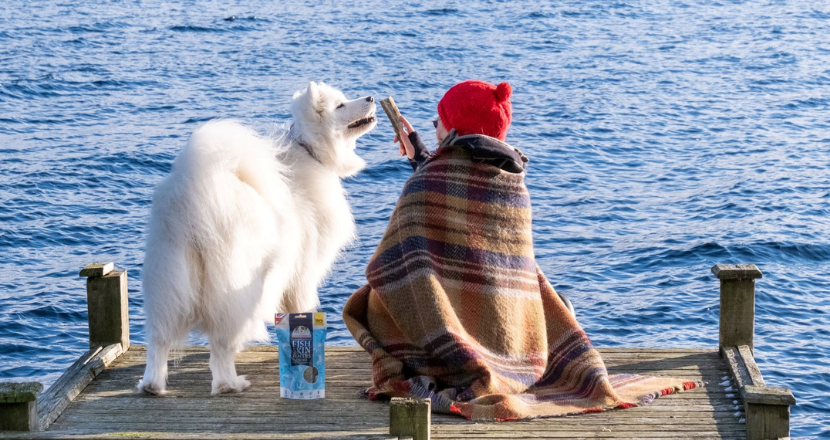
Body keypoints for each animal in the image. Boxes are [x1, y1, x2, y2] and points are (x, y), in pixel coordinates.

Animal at [139, 81, 376, 396]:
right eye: (340, 105)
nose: (372, 97)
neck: (309, 149)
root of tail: (194, 194)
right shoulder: (303, 273)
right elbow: (302, 308)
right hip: (237, 286)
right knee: (220, 344)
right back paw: (230, 384)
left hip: (168, 284)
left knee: (159, 340)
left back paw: (152, 385)